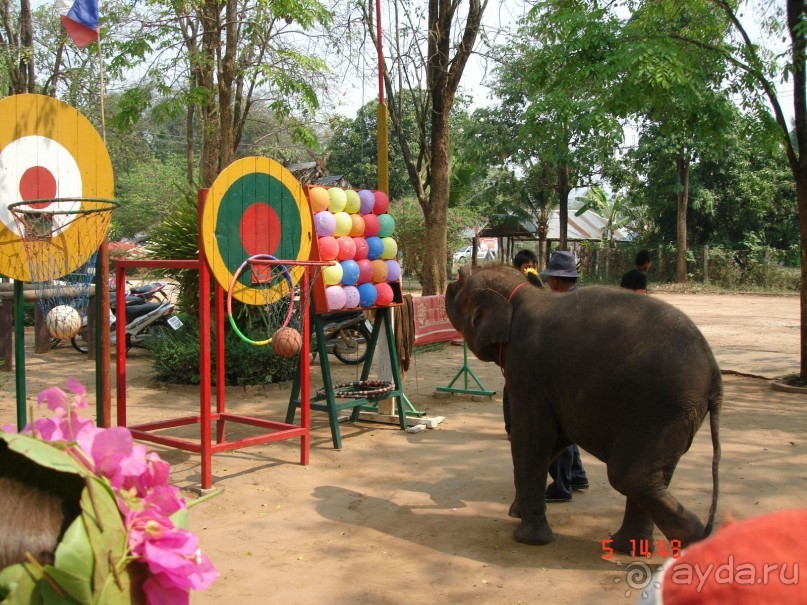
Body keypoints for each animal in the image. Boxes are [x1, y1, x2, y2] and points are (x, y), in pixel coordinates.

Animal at [446, 264, 724, 552]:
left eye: (461, 282)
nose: (454, 275)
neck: (523, 295)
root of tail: (714, 375)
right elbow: (554, 441)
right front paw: (517, 512)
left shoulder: (527, 369)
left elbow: (532, 439)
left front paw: (527, 538)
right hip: (678, 414)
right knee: (649, 475)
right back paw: (627, 546)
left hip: (661, 407)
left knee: (629, 476)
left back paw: (697, 543)